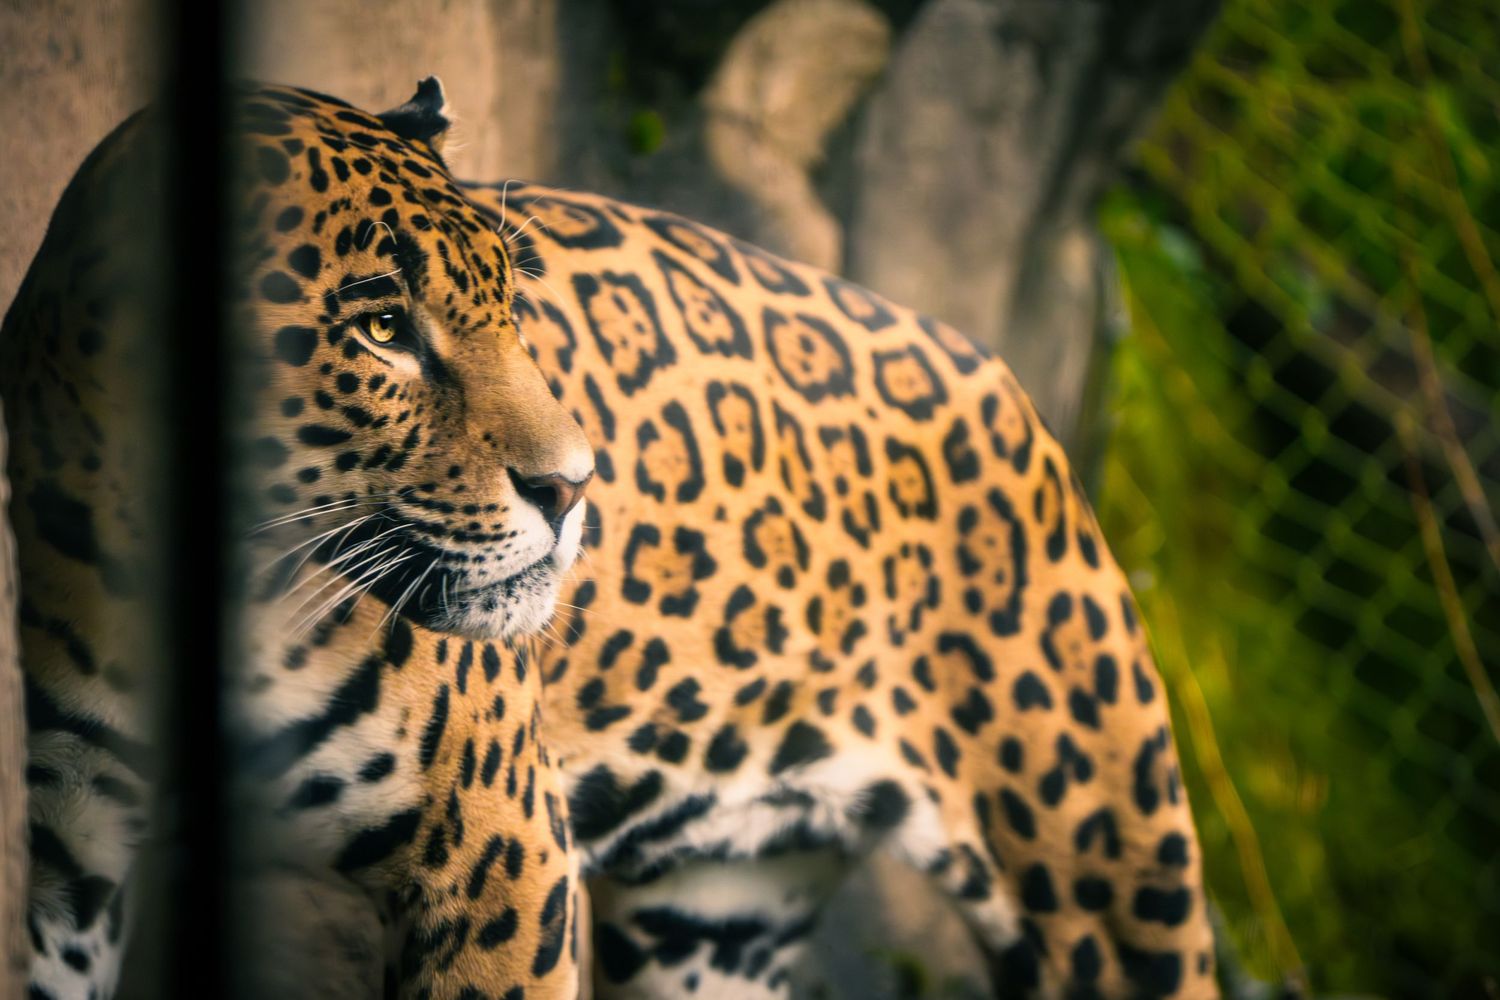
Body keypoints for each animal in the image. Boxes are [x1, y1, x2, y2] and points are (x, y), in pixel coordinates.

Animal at [4, 77, 1218, 1000]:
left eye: (511, 309)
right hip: (719, 923)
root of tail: (1028, 407)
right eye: (383, 326)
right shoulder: (67, 853)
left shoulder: (499, 857)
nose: (572, 487)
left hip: (1113, 883)